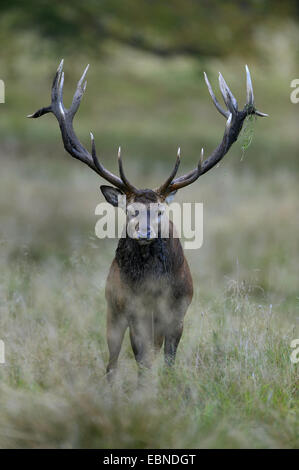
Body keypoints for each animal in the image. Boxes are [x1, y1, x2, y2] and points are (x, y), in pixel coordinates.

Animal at [28, 59, 268, 382]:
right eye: (131, 211)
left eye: (161, 211)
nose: (145, 233)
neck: (154, 290)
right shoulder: (132, 310)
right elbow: (141, 357)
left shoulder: (178, 310)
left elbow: (168, 358)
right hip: (112, 308)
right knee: (113, 359)